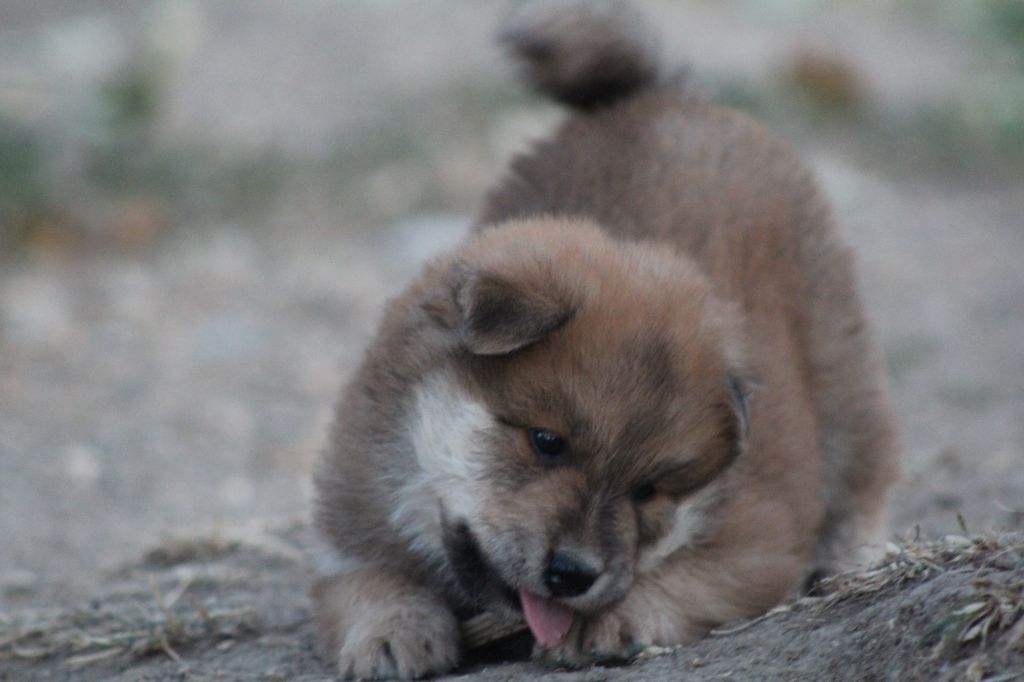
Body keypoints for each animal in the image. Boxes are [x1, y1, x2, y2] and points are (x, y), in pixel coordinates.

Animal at [310, 2, 899, 678]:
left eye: (647, 492)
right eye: (546, 443)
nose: (573, 574)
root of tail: (667, 95)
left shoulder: (755, 539)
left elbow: (687, 577)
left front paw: (612, 618)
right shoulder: (346, 524)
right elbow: (366, 581)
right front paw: (391, 630)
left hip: (840, 363)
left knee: (865, 472)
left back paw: (854, 559)